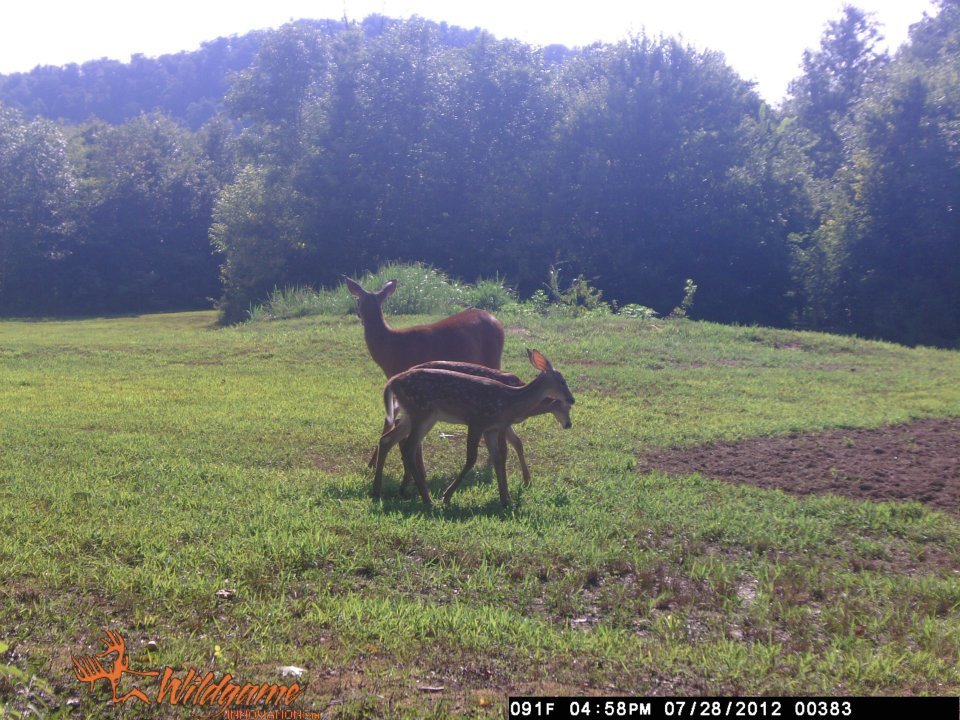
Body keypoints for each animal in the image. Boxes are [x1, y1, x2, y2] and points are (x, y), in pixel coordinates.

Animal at [384, 349, 575, 506]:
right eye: (562, 381)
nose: (572, 400)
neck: (511, 399)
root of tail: (393, 381)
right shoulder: (477, 421)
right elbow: (473, 458)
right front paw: (447, 496)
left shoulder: (493, 428)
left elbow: (502, 454)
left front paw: (507, 497)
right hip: (422, 413)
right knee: (407, 445)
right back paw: (423, 496)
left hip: (417, 415)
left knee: (391, 438)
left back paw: (387, 490)